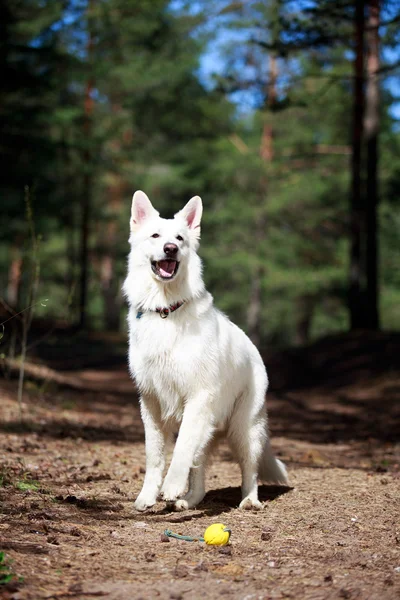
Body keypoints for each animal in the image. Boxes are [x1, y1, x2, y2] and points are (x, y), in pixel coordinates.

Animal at [122, 191, 288, 510]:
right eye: (155, 236)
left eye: (179, 238)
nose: (171, 248)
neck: (166, 310)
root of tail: (254, 349)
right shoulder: (150, 403)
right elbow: (154, 455)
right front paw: (148, 495)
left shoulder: (197, 398)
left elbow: (182, 448)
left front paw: (171, 486)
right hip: (212, 425)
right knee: (199, 470)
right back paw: (190, 500)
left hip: (243, 428)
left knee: (249, 468)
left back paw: (249, 500)